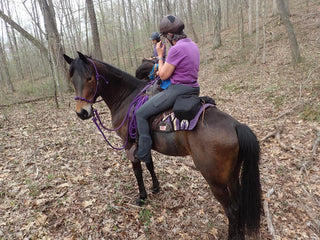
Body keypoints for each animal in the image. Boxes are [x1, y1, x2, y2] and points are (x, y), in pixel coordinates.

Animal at [63, 51, 262, 239]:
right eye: (72, 80)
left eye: (89, 78)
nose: (82, 112)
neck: (127, 96)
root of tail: (236, 125)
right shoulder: (143, 143)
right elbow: (150, 164)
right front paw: (156, 187)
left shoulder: (128, 144)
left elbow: (138, 170)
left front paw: (142, 197)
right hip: (232, 175)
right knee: (238, 204)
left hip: (215, 180)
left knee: (231, 210)